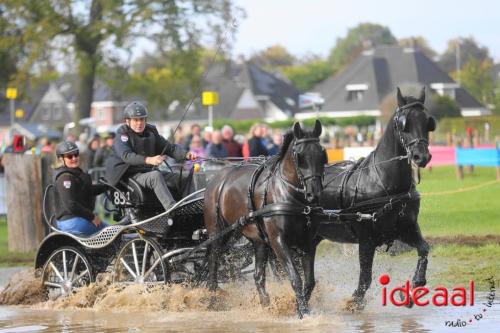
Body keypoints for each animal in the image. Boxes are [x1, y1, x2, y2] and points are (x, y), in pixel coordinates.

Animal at [204, 120, 326, 316]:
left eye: (322, 154)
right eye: (300, 157)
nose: (314, 194)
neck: (290, 195)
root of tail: (217, 178)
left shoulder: (307, 242)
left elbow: (309, 282)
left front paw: (299, 307)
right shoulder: (278, 241)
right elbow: (295, 278)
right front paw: (303, 311)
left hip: (258, 240)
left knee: (258, 276)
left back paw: (265, 303)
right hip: (218, 233)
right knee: (214, 262)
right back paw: (212, 297)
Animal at [318, 87, 436, 308]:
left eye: (428, 122)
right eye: (404, 123)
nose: (421, 157)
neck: (382, 181)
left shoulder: (405, 228)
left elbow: (424, 250)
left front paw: (410, 290)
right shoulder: (367, 239)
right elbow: (365, 277)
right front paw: (354, 302)